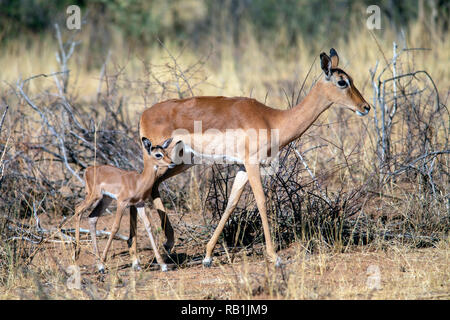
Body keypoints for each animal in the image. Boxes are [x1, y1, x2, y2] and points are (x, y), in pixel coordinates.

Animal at [74, 137, 174, 272]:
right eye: (158, 154)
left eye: (166, 152)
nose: (172, 162)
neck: (138, 182)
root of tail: (88, 169)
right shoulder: (122, 203)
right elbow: (115, 227)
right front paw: (103, 263)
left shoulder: (139, 204)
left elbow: (148, 226)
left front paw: (162, 264)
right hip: (94, 196)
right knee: (78, 209)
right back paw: (79, 254)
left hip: (105, 199)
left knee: (92, 218)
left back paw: (96, 262)